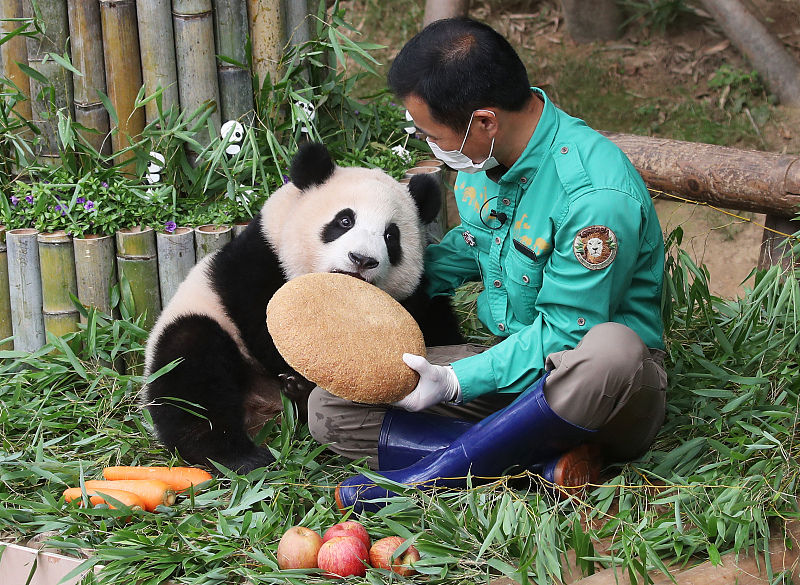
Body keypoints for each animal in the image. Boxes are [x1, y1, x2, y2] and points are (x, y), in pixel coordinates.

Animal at [144, 143, 462, 474]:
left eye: (391, 236)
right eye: (344, 221)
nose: (362, 259)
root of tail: (264, 410)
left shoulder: (423, 291)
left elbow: (439, 327)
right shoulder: (259, 260)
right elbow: (264, 327)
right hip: (196, 326)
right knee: (190, 373)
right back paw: (239, 455)